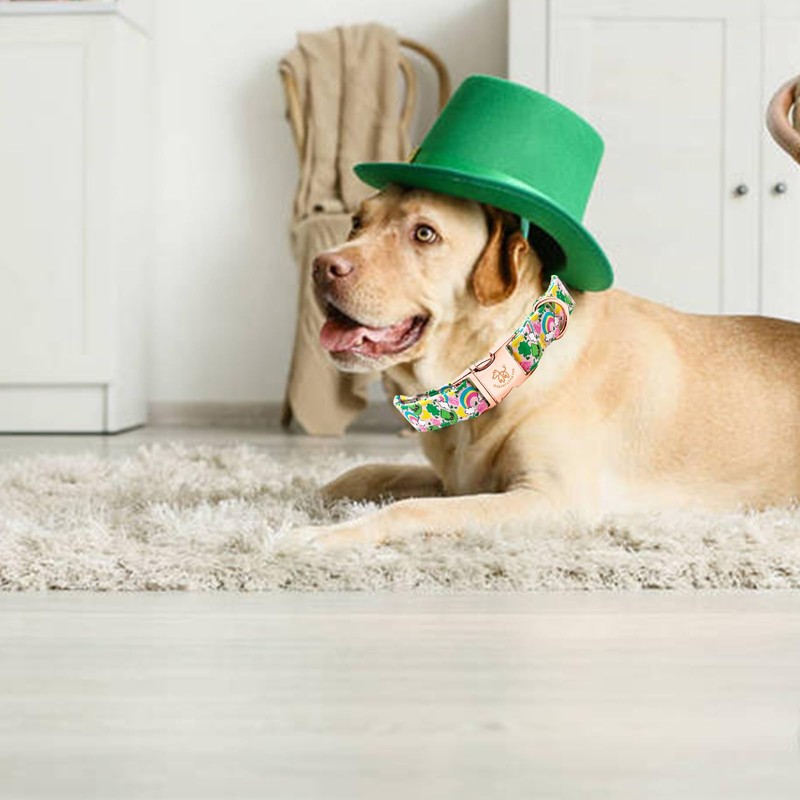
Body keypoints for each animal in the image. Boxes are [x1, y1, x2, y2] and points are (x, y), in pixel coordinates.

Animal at [302, 184, 800, 546]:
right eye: (357, 222)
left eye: (424, 233)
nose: (321, 266)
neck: (500, 362)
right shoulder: (457, 480)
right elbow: (368, 470)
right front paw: (305, 495)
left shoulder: (553, 498)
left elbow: (410, 508)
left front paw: (322, 535)